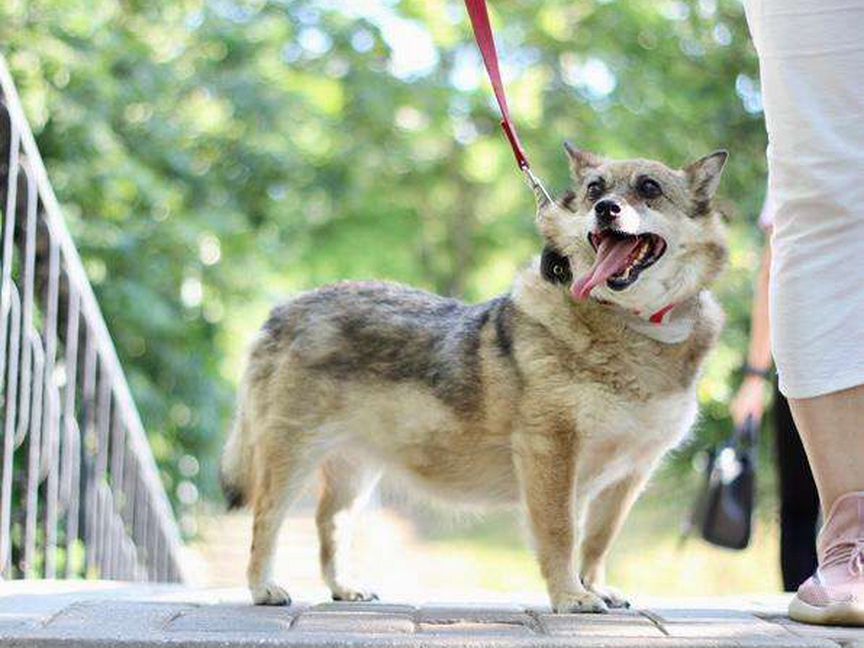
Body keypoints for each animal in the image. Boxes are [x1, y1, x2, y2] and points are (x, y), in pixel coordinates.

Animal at [221, 142, 728, 612]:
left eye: (649, 188)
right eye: (594, 190)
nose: (606, 209)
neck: (634, 326)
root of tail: (284, 309)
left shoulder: (631, 473)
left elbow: (598, 542)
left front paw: (594, 587)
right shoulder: (550, 451)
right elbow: (561, 534)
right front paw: (571, 597)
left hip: (354, 473)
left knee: (330, 525)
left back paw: (344, 588)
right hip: (291, 459)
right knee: (265, 521)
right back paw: (263, 587)